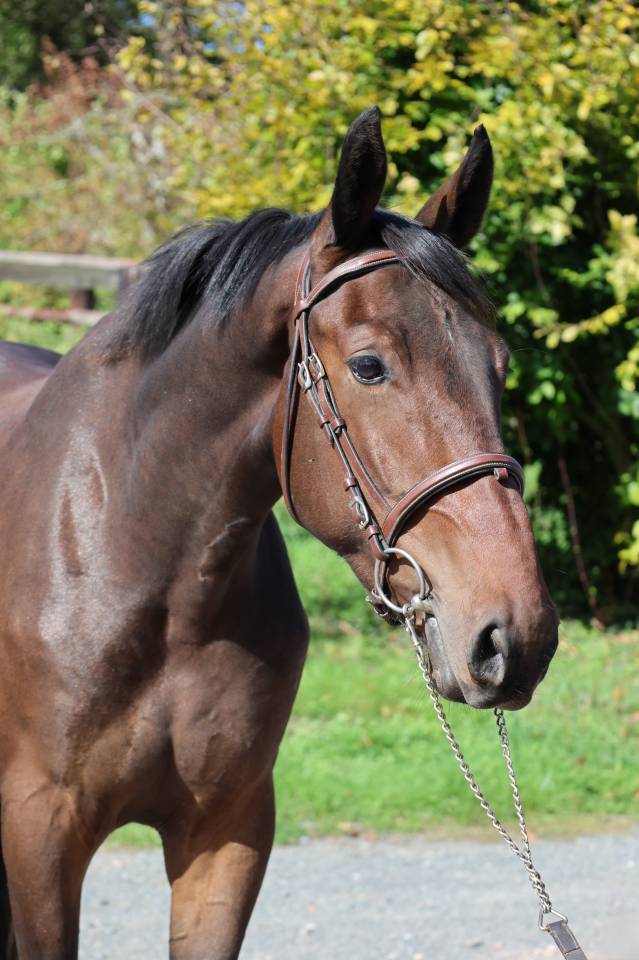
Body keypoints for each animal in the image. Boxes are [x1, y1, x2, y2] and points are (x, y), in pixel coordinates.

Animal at [0, 107, 558, 959]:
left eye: (497, 364)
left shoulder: (225, 834)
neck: (131, 558)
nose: (515, 634)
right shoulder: (39, 832)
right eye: (368, 367)